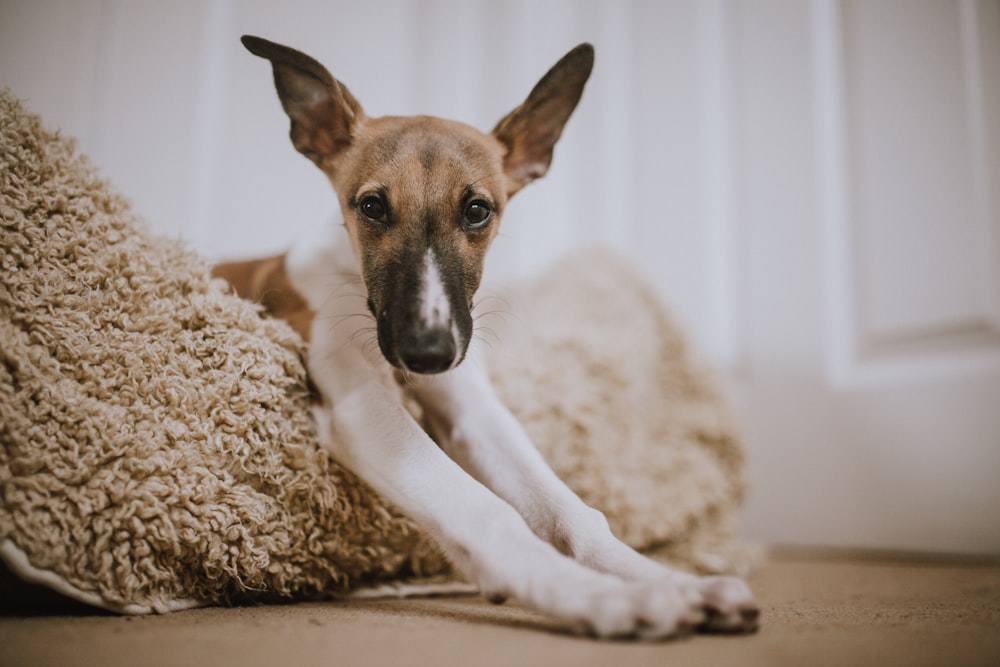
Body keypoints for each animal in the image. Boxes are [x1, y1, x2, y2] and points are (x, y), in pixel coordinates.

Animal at [213, 36, 756, 640]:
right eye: (372, 206)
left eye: (477, 210)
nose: (427, 355)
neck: (350, 278)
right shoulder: (360, 406)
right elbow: (488, 512)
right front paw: (603, 596)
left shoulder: (472, 409)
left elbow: (574, 512)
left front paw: (669, 580)